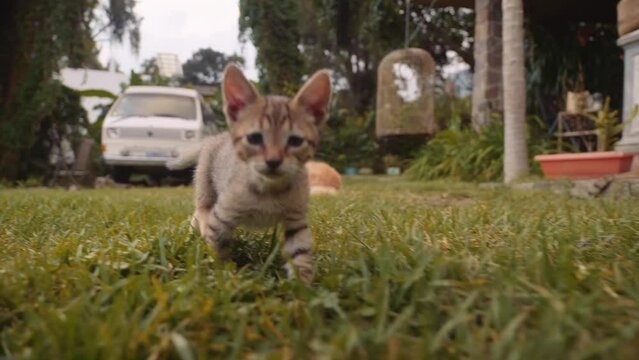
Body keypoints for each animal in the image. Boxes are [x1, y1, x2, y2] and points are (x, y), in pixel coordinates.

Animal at [189, 64, 330, 284]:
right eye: (254, 138)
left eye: (295, 141)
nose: (273, 161)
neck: (269, 190)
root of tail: (216, 137)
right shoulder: (221, 216)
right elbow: (217, 247)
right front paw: (224, 276)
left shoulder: (296, 220)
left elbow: (300, 253)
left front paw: (302, 286)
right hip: (205, 188)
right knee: (201, 212)